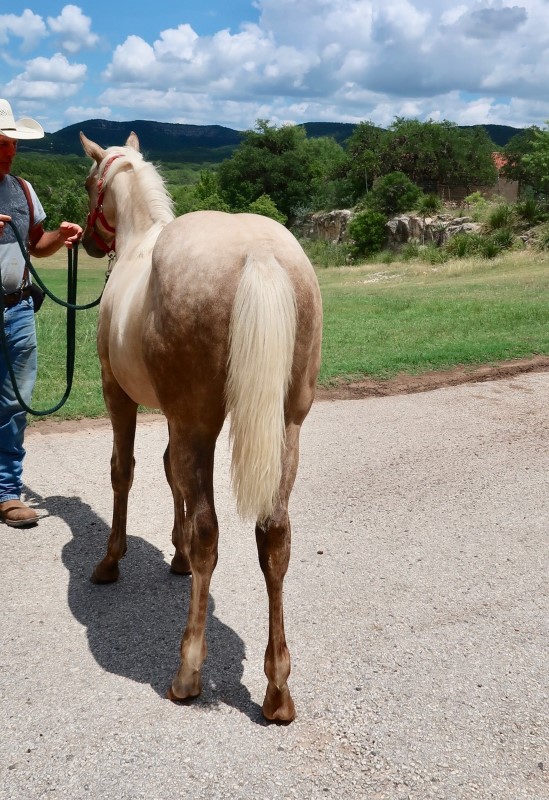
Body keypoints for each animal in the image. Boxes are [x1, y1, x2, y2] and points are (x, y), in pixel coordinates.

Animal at [80, 134, 322, 720]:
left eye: (89, 184)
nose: (87, 240)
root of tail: (259, 253)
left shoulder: (120, 394)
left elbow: (124, 471)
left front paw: (111, 561)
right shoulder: (177, 418)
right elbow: (171, 475)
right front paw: (176, 555)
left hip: (197, 421)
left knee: (211, 531)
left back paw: (187, 671)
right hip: (287, 428)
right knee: (274, 536)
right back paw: (277, 689)